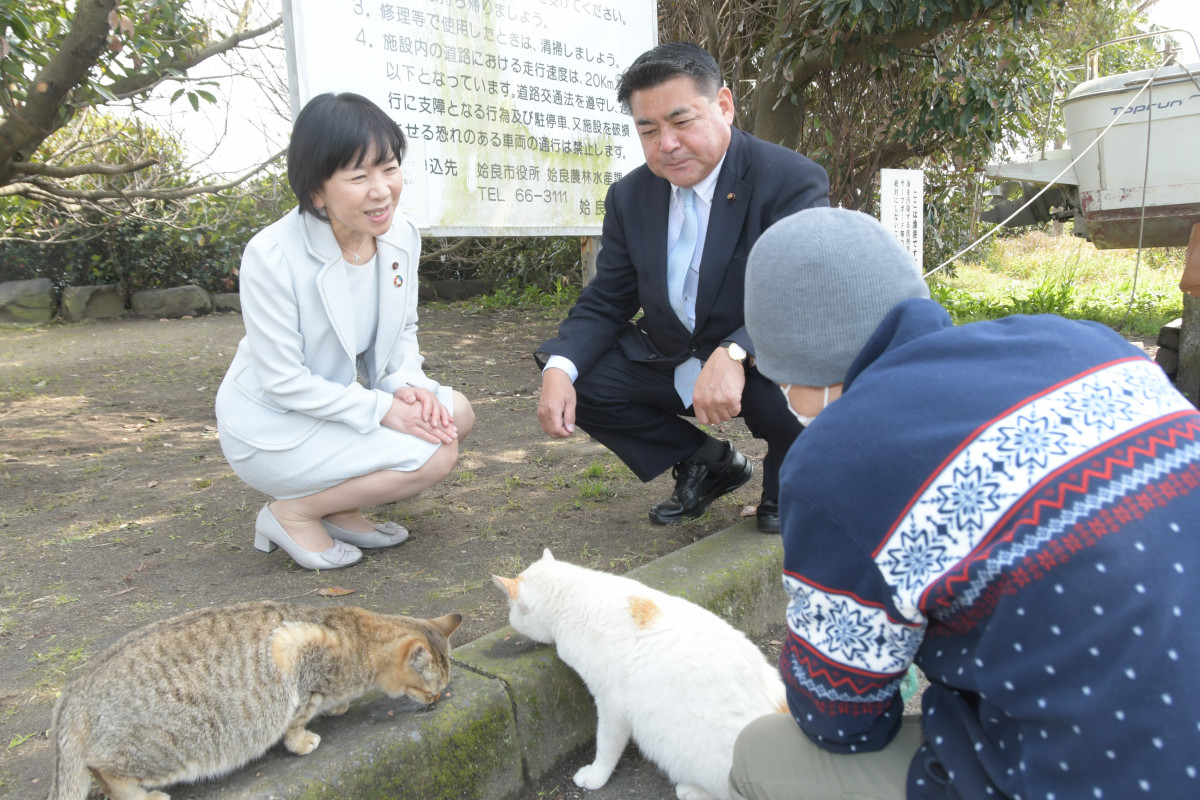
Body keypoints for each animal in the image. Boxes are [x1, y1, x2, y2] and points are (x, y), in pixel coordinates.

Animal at [48, 599, 458, 800]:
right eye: (429, 690)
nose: (438, 700)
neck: (358, 637)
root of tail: (74, 689)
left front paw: (337, 706)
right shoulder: (292, 655)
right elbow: (297, 717)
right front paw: (302, 739)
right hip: (164, 747)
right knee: (104, 771)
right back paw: (144, 797)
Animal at [492, 551, 782, 800]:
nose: (510, 622)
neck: (575, 595)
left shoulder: (612, 704)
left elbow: (606, 744)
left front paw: (596, 776)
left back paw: (692, 790)